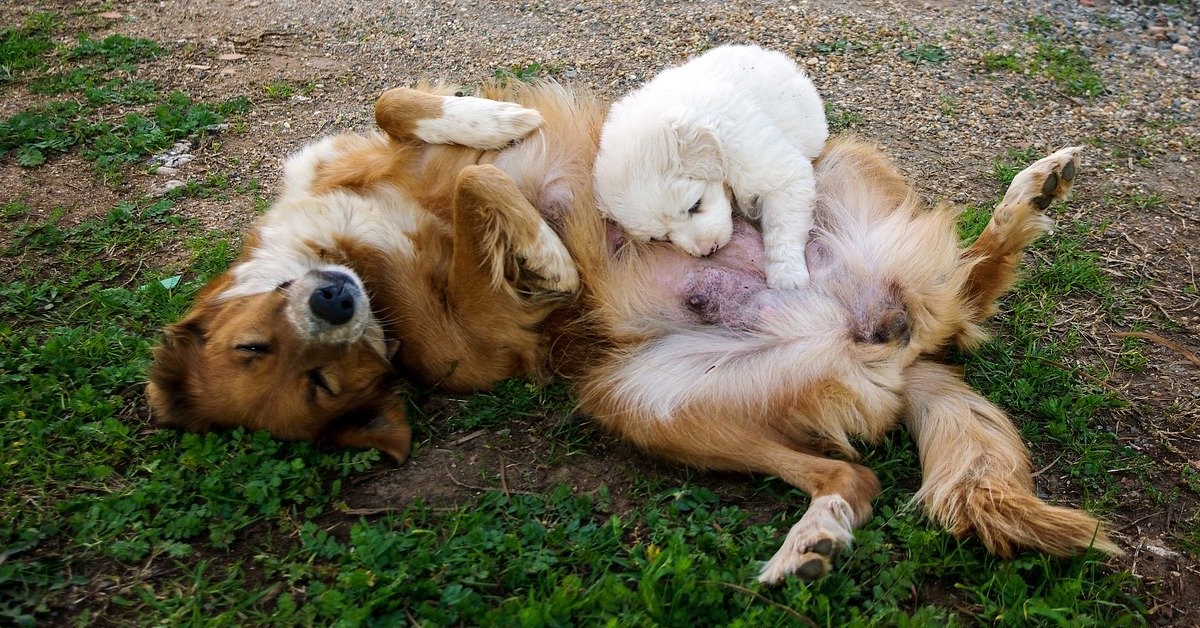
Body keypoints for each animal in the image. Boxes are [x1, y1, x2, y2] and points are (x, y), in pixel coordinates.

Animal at [595, 44, 830, 290]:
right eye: (663, 237)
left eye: (695, 205)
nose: (708, 250)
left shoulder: (778, 172)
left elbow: (782, 225)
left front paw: (787, 276)